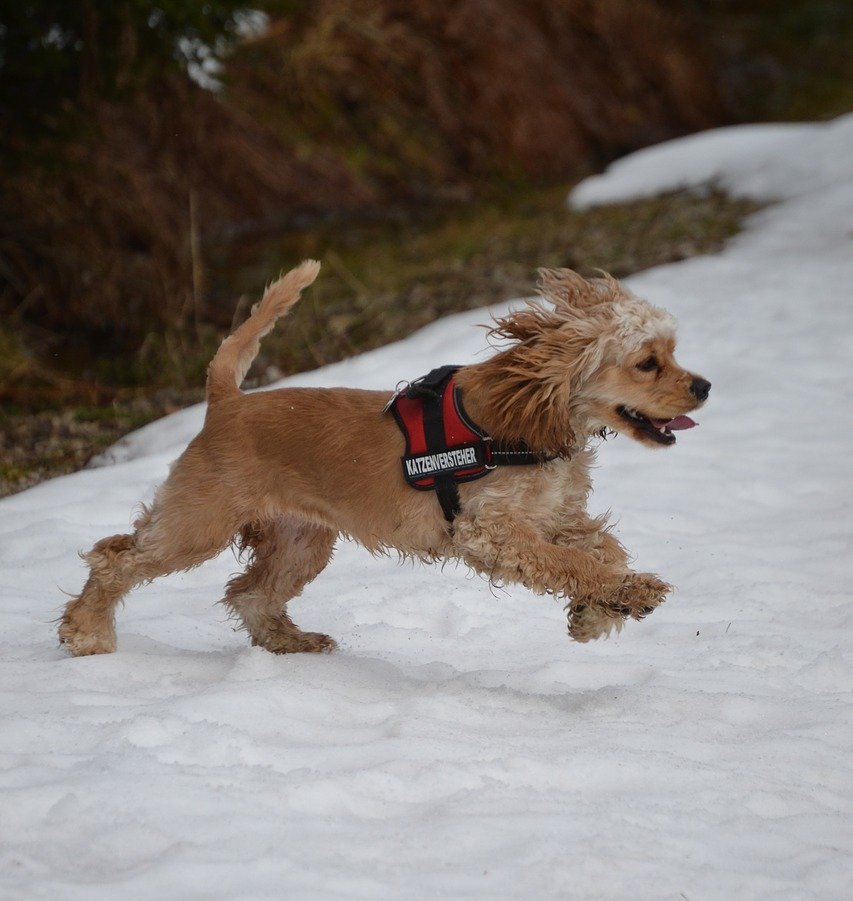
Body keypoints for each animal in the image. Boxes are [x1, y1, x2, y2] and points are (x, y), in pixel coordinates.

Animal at [60, 260, 708, 652]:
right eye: (648, 362)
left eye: (674, 352)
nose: (703, 386)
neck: (532, 413)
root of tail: (226, 402)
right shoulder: (492, 531)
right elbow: (573, 563)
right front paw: (630, 593)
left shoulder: (558, 518)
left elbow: (603, 548)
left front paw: (597, 613)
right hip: (198, 524)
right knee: (113, 559)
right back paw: (87, 634)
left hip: (301, 541)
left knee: (248, 593)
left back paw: (293, 644)